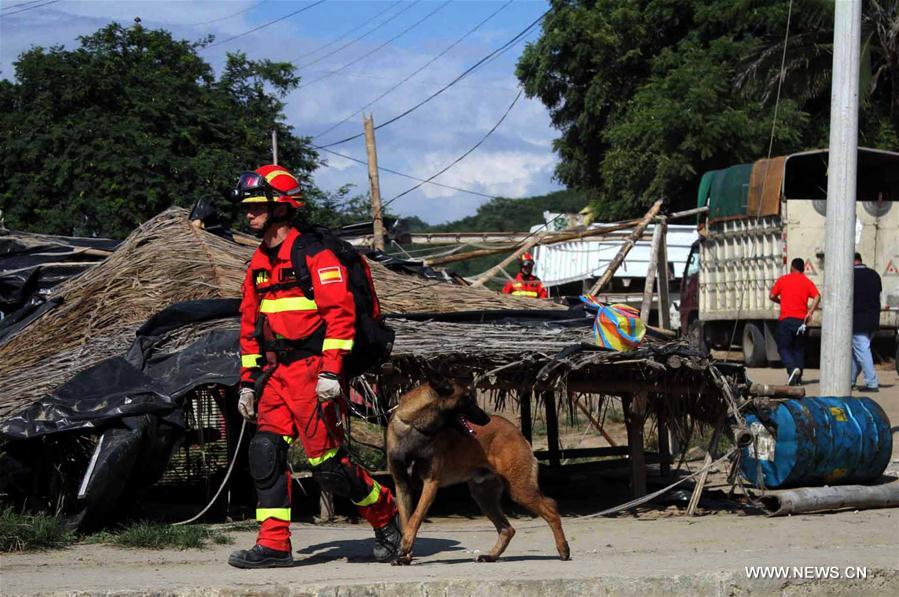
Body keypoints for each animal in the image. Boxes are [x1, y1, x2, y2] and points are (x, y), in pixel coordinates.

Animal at [384, 378, 568, 564]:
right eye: (467, 398)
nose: (486, 418)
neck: (414, 426)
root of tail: (516, 430)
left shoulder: (430, 483)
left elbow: (416, 517)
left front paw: (405, 544)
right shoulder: (402, 486)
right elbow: (406, 521)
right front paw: (405, 556)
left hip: (519, 489)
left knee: (551, 510)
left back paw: (563, 550)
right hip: (484, 496)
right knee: (507, 529)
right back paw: (491, 556)